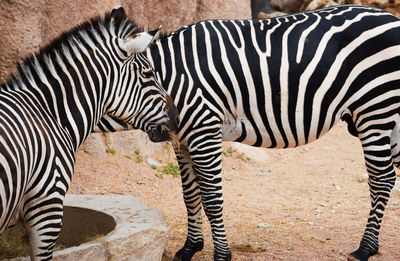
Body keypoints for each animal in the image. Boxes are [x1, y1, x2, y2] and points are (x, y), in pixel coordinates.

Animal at [97, 4, 400, 260]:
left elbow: (211, 198)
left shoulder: (205, 132)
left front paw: (221, 254)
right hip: (392, 119)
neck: (171, 78)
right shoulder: (181, 140)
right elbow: (190, 195)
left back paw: (365, 248)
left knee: (382, 178)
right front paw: (189, 248)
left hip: (375, 110)